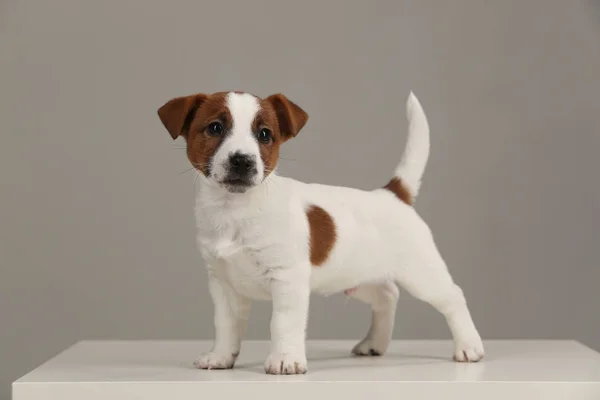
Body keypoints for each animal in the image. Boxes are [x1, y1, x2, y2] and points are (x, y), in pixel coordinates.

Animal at [158, 90, 482, 376]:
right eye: (215, 128)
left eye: (264, 134)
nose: (242, 160)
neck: (235, 209)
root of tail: (393, 194)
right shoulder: (223, 285)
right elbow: (225, 325)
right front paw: (221, 357)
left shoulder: (287, 279)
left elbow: (283, 323)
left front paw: (285, 360)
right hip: (358, 278)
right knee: (388, 295)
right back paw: (373, 343)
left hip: (422, 274)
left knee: (453, 297)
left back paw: (469, 346)